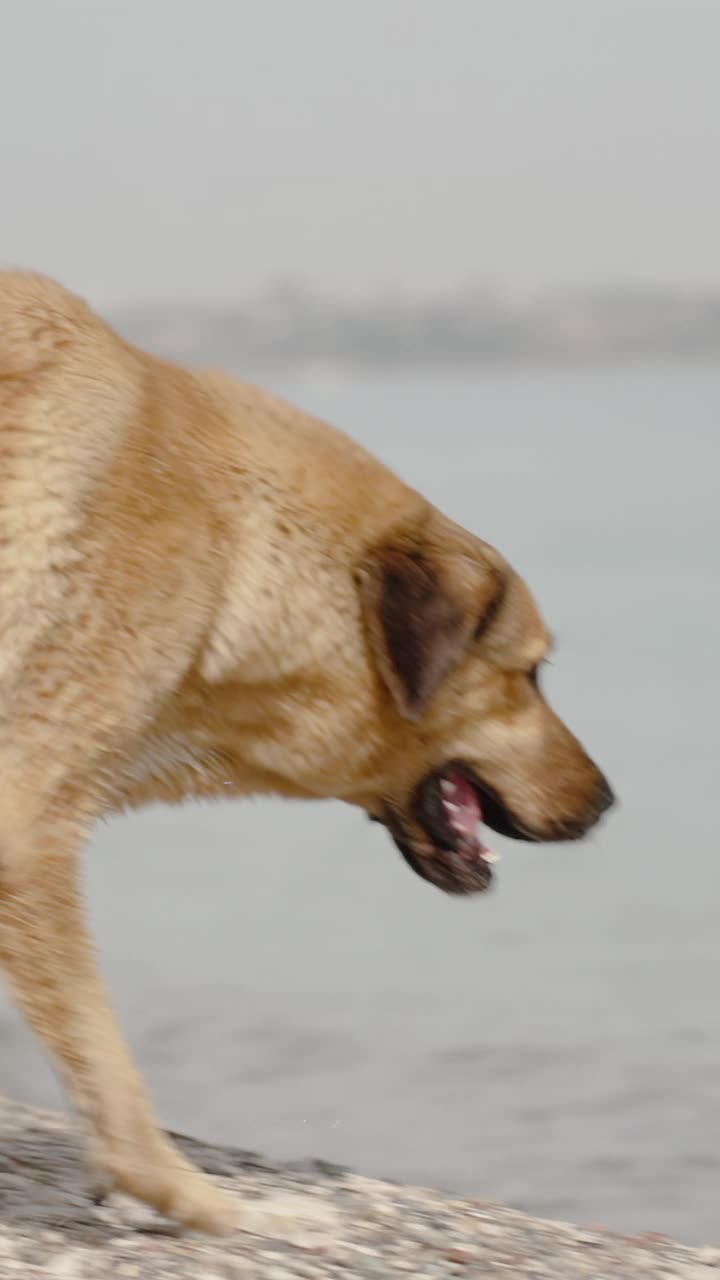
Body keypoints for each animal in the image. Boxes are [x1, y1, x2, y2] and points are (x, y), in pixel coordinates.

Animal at [0, 275, 609, 1233]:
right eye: (534, 671)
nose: (608, 800)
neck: (237, 544)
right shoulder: (27, 823)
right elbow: (112, 1070)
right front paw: (207, 1204)